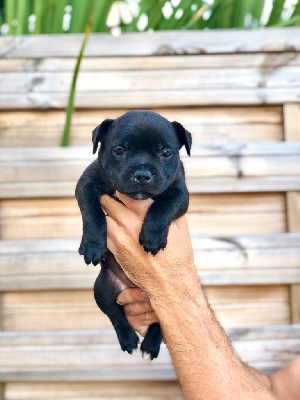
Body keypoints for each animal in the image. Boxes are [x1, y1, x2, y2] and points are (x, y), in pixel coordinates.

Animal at [75, 110, 192, 360]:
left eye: (166, 153)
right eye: (119, 151)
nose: (143, 174)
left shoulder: (179, 192)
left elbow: (163, 207)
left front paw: (152, 236)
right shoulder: (86, 184)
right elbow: (92, 212)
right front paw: (93, 244)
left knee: (161, 323)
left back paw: (150, 345)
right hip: (103, 289)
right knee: (115, 314)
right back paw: (128, 339)